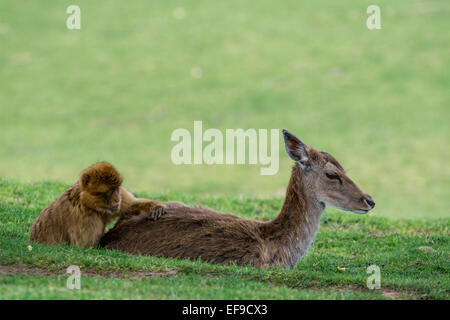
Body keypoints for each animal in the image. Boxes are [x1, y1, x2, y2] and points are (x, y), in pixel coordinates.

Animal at [29, 162, 165, 248]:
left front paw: (155, 206)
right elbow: (86, 248)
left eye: (116, 189)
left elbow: (131, 205)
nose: (117, 200)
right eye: (109, 191)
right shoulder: (87, 219)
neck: (86, 203)